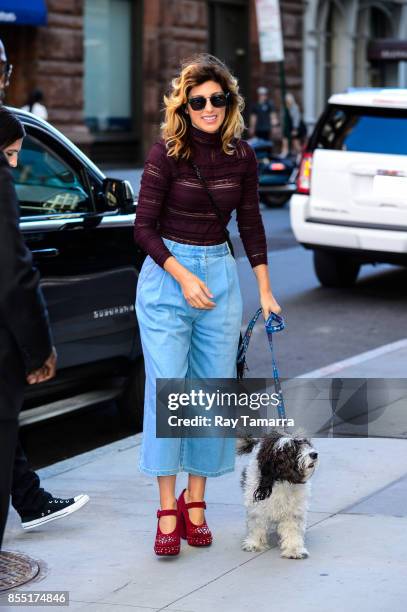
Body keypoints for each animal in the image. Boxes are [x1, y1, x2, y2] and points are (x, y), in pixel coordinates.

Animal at [237, 430, 320, 560]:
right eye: (291, 448)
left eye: (306, 443)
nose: (314, 454)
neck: (282, 479)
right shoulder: (257, 507)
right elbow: (257, 525)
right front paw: (254, 543)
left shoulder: (293, 511)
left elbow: (292, 530)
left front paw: (294, 550)